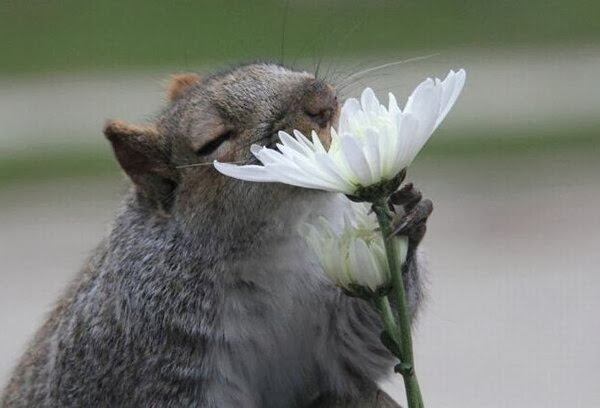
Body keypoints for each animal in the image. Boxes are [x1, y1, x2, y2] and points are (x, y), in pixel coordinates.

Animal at [0, 63, 432, 408]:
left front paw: (406, 214)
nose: (322, 99)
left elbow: (363, 343)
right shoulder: (151, 352)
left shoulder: (333, 329)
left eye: (275, 66)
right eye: (213, 140)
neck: (275, 246)